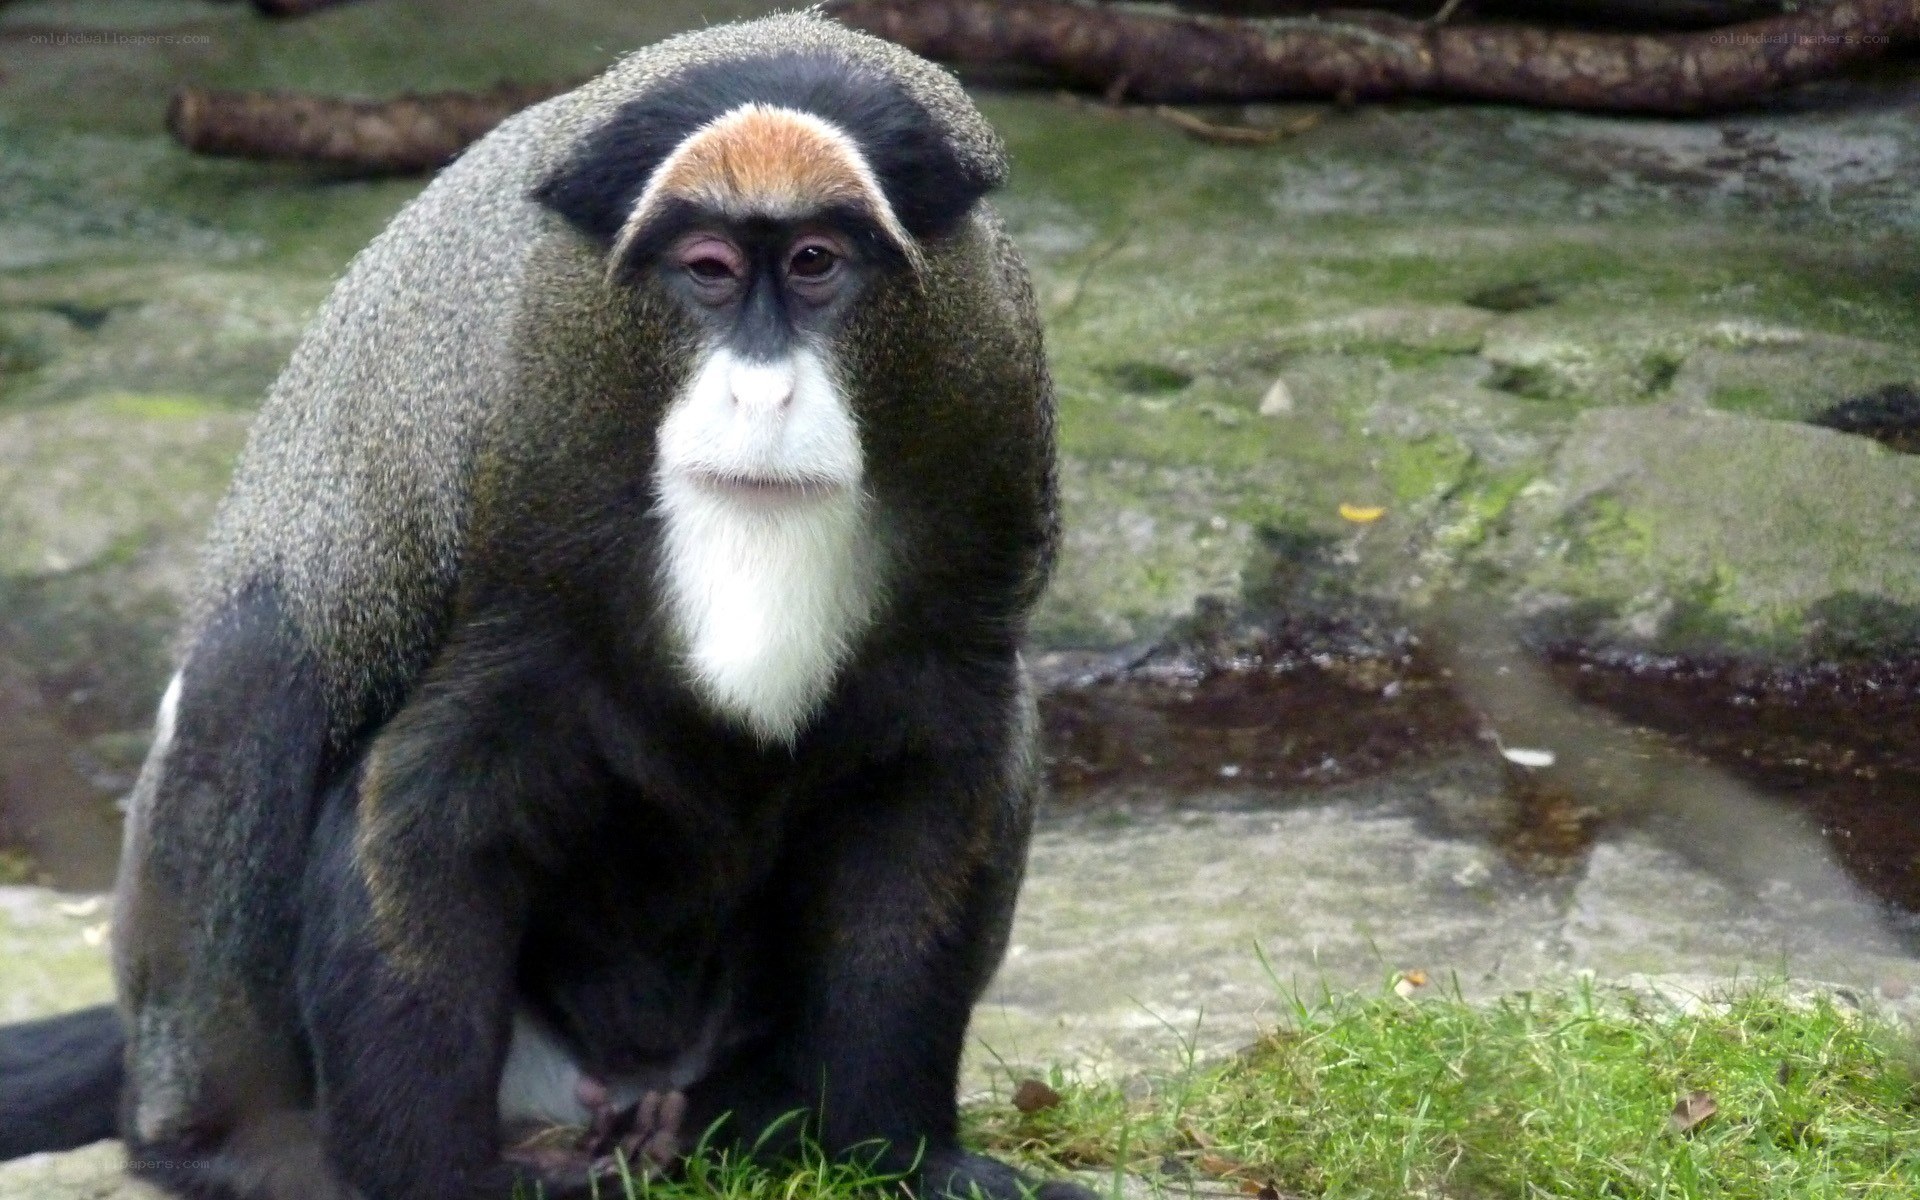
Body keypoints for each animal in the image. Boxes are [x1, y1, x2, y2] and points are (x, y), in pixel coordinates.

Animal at [0, 13, 1091, 1200]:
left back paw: (753, 1120)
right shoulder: (517, 519)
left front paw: (898, 1156)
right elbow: (420, 801)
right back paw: (230, 1139)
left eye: (814, 263)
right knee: (254, 671)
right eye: (707, 271)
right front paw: (430, 1179)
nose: (761, 392)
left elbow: (934, 785)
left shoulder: (984, 465)